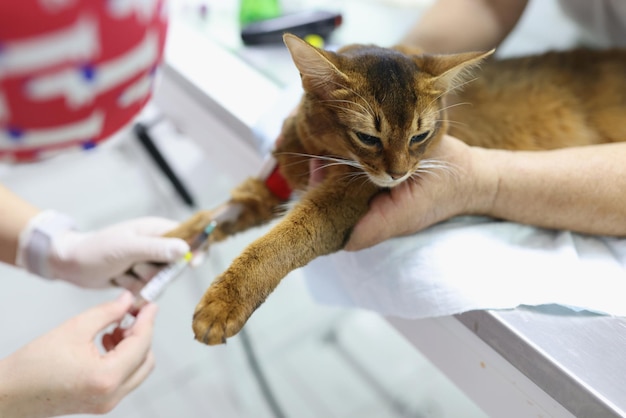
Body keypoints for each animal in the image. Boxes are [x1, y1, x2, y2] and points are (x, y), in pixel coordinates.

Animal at [163, 33, 624, 346]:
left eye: (420, 136)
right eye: (368, 138)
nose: (399, 175)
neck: (317, 152)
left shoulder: (341, 201)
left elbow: (278, 243)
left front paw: (224, 302)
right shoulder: (272, 179)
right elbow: (208, 219)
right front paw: (164, 245)